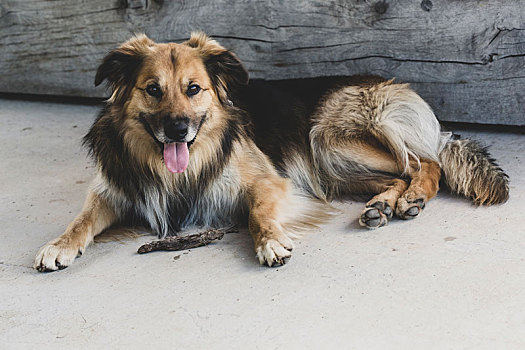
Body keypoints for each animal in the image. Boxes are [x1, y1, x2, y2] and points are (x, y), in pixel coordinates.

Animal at [32, 32, 508, 272]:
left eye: (193, 89)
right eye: (152, 90)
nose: (178, 129)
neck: (179, 170)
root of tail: (391, 82)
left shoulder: (270, 181)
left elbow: (258, 213)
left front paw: (270, 242)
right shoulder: (112, 191)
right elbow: (81, 220)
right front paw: (58, 245)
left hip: (329, 139)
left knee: (426, 161)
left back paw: (412, 198)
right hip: (333, 166)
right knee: (400, 172)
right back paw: (381, 206)